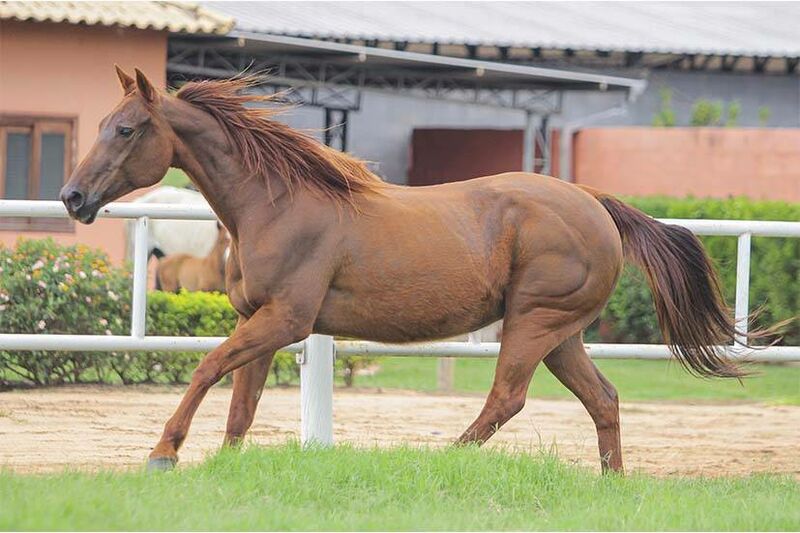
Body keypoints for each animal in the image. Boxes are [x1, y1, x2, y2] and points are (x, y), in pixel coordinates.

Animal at [61, 66, 756, 470]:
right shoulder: (259, 320)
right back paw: (610, 484)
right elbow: (242, 405)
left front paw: (163, 453)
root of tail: (597, 205)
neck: (275, 204)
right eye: (102, 124)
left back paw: (443, 459)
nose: (72, 197)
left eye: (125, 130)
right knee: (603, 400)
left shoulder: (287, 320)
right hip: (562, 334)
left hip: (533, 323)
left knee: (507, 397)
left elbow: (207, 368)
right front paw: (225, 466)